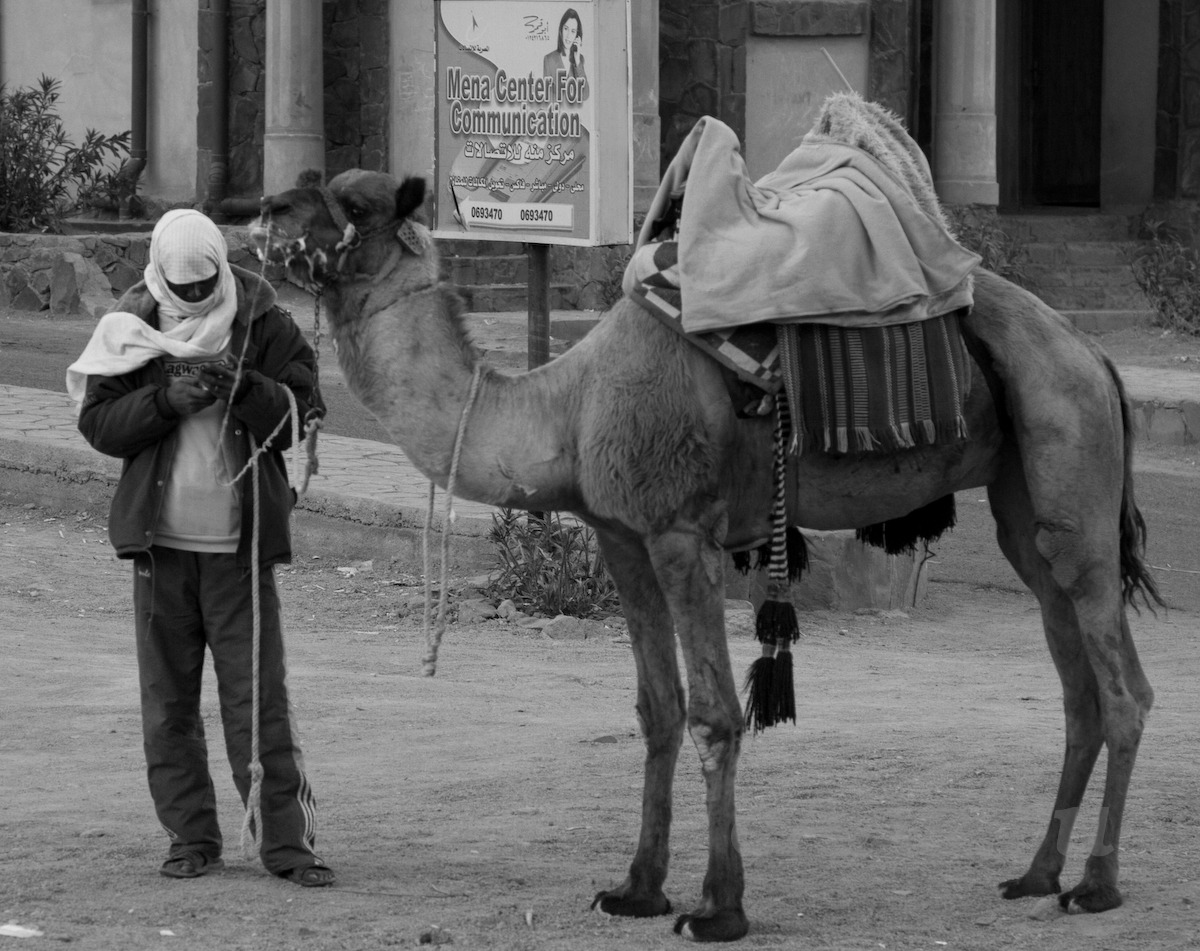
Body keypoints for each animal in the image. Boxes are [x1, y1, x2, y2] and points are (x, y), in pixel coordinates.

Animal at [250, 166, 1161, 941]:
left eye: (354, 202)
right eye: (312, 182)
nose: (264, 207)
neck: (566, 405)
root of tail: (1094, 355)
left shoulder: (683, 531)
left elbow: (717, 712)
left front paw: (719, 906)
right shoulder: (620, 533)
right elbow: (656, 708)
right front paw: (635, 888)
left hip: (1070, 455)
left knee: (1125, 687)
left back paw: (1097, 884)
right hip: (1022, 504)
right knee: (1074, 680)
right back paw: (1037, 874)